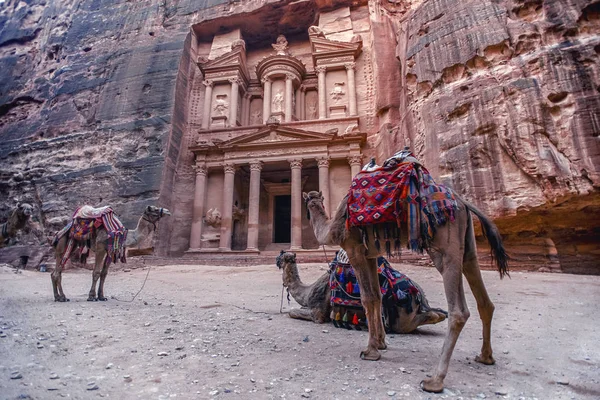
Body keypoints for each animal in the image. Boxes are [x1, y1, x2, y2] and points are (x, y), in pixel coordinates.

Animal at [276, 252, 446, 332]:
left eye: (282, 257)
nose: (277, 260)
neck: (308, 290)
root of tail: (417, 295)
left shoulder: (317, 312)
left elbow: (293, 312)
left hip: (402, 318)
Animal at [304, 155, 506, 392]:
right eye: (311, 202)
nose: (309, 206)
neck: (332, 227)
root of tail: (464, 203)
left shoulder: (355, 250)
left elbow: (366, 298)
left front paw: (370, 351)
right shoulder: (371, 254)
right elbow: (376, 297)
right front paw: (380, 343)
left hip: (445, 247)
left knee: (459, 311)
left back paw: (434, 380)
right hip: (468, 248)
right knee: (485, 302)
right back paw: (485, 357)